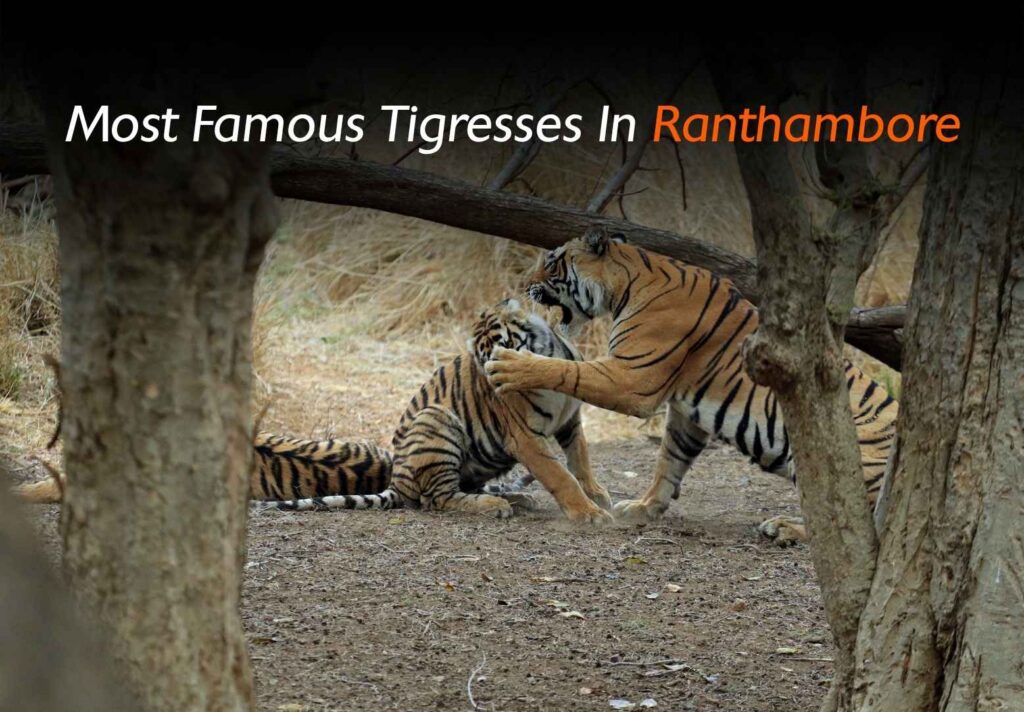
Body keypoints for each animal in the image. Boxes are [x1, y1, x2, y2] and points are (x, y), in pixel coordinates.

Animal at [276, 298, 613, 523]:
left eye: (504, 348)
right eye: (483, 360)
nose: (494, 380)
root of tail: (396, 481)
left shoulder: (571, 421)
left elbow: (580, 460)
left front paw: (597, 495)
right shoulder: (525, 437)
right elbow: (560, 475)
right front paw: (588, 513)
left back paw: (517, 498)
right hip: (436, 419)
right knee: (439, 498)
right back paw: (494, 505)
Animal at [484, 229, 898, 545]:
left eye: (552, 261)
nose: (525, 286)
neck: (626, 282)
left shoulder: (632, 378)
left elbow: (567, 369)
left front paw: (510, 365)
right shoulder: (689, 413)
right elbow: (669, 460)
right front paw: (643, 508)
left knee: (850, 524)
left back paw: (783, 528)